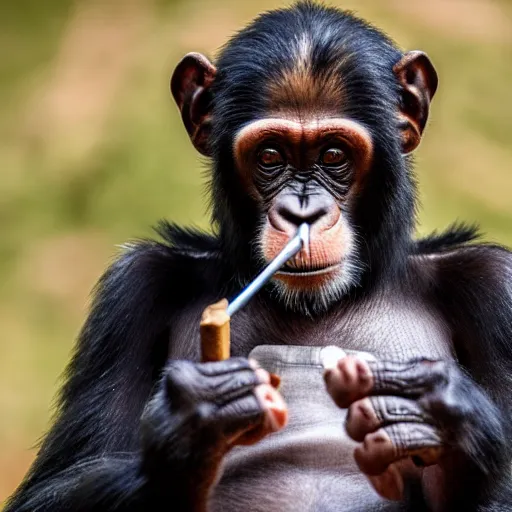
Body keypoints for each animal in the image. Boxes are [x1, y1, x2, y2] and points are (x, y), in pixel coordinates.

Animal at [6, 1, 512, 512]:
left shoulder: (497, 286)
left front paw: (443, 421)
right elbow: (52, 486)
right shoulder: (132, 290)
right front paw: (191, 428)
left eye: (334, 155)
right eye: (270, 156)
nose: (301, 211)